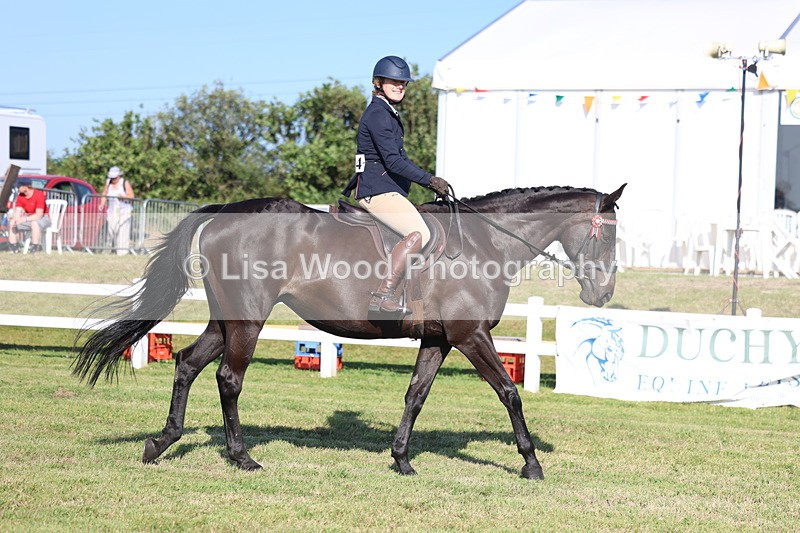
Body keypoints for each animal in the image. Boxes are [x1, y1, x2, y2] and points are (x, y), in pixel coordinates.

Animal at [73, 183, 626, 480]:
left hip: (226, 319)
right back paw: (242, 457)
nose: (603, 294)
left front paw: (401, 460)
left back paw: (162, 442)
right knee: (229, 379)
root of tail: (226, 212)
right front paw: (531, 463)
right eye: (609, 236)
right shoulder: (470, 336)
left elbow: (415, 395)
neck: (485, 243)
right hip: (248, 319)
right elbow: (510, 392)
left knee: (187, 363)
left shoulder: (439, 339)